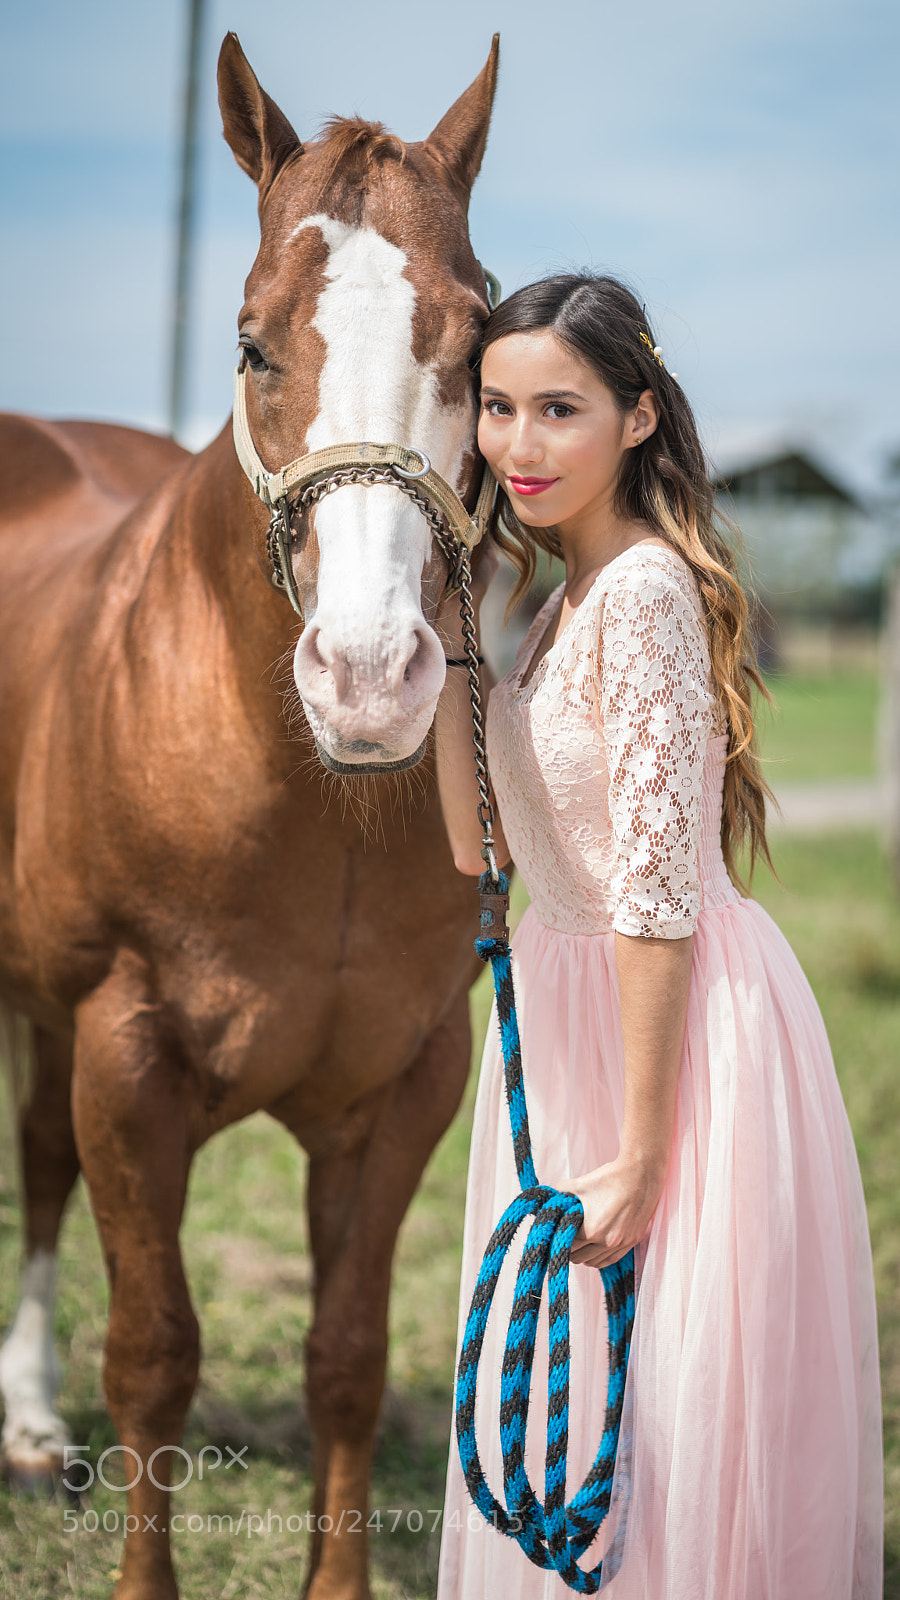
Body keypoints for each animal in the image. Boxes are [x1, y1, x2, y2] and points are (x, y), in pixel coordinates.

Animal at [0, 31, 499, 1599]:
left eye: (481, 342)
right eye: (250, 340)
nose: (369, 678)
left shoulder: (405, 1084)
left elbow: (347, 1360)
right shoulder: (127, 1053)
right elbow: (153, 1355)